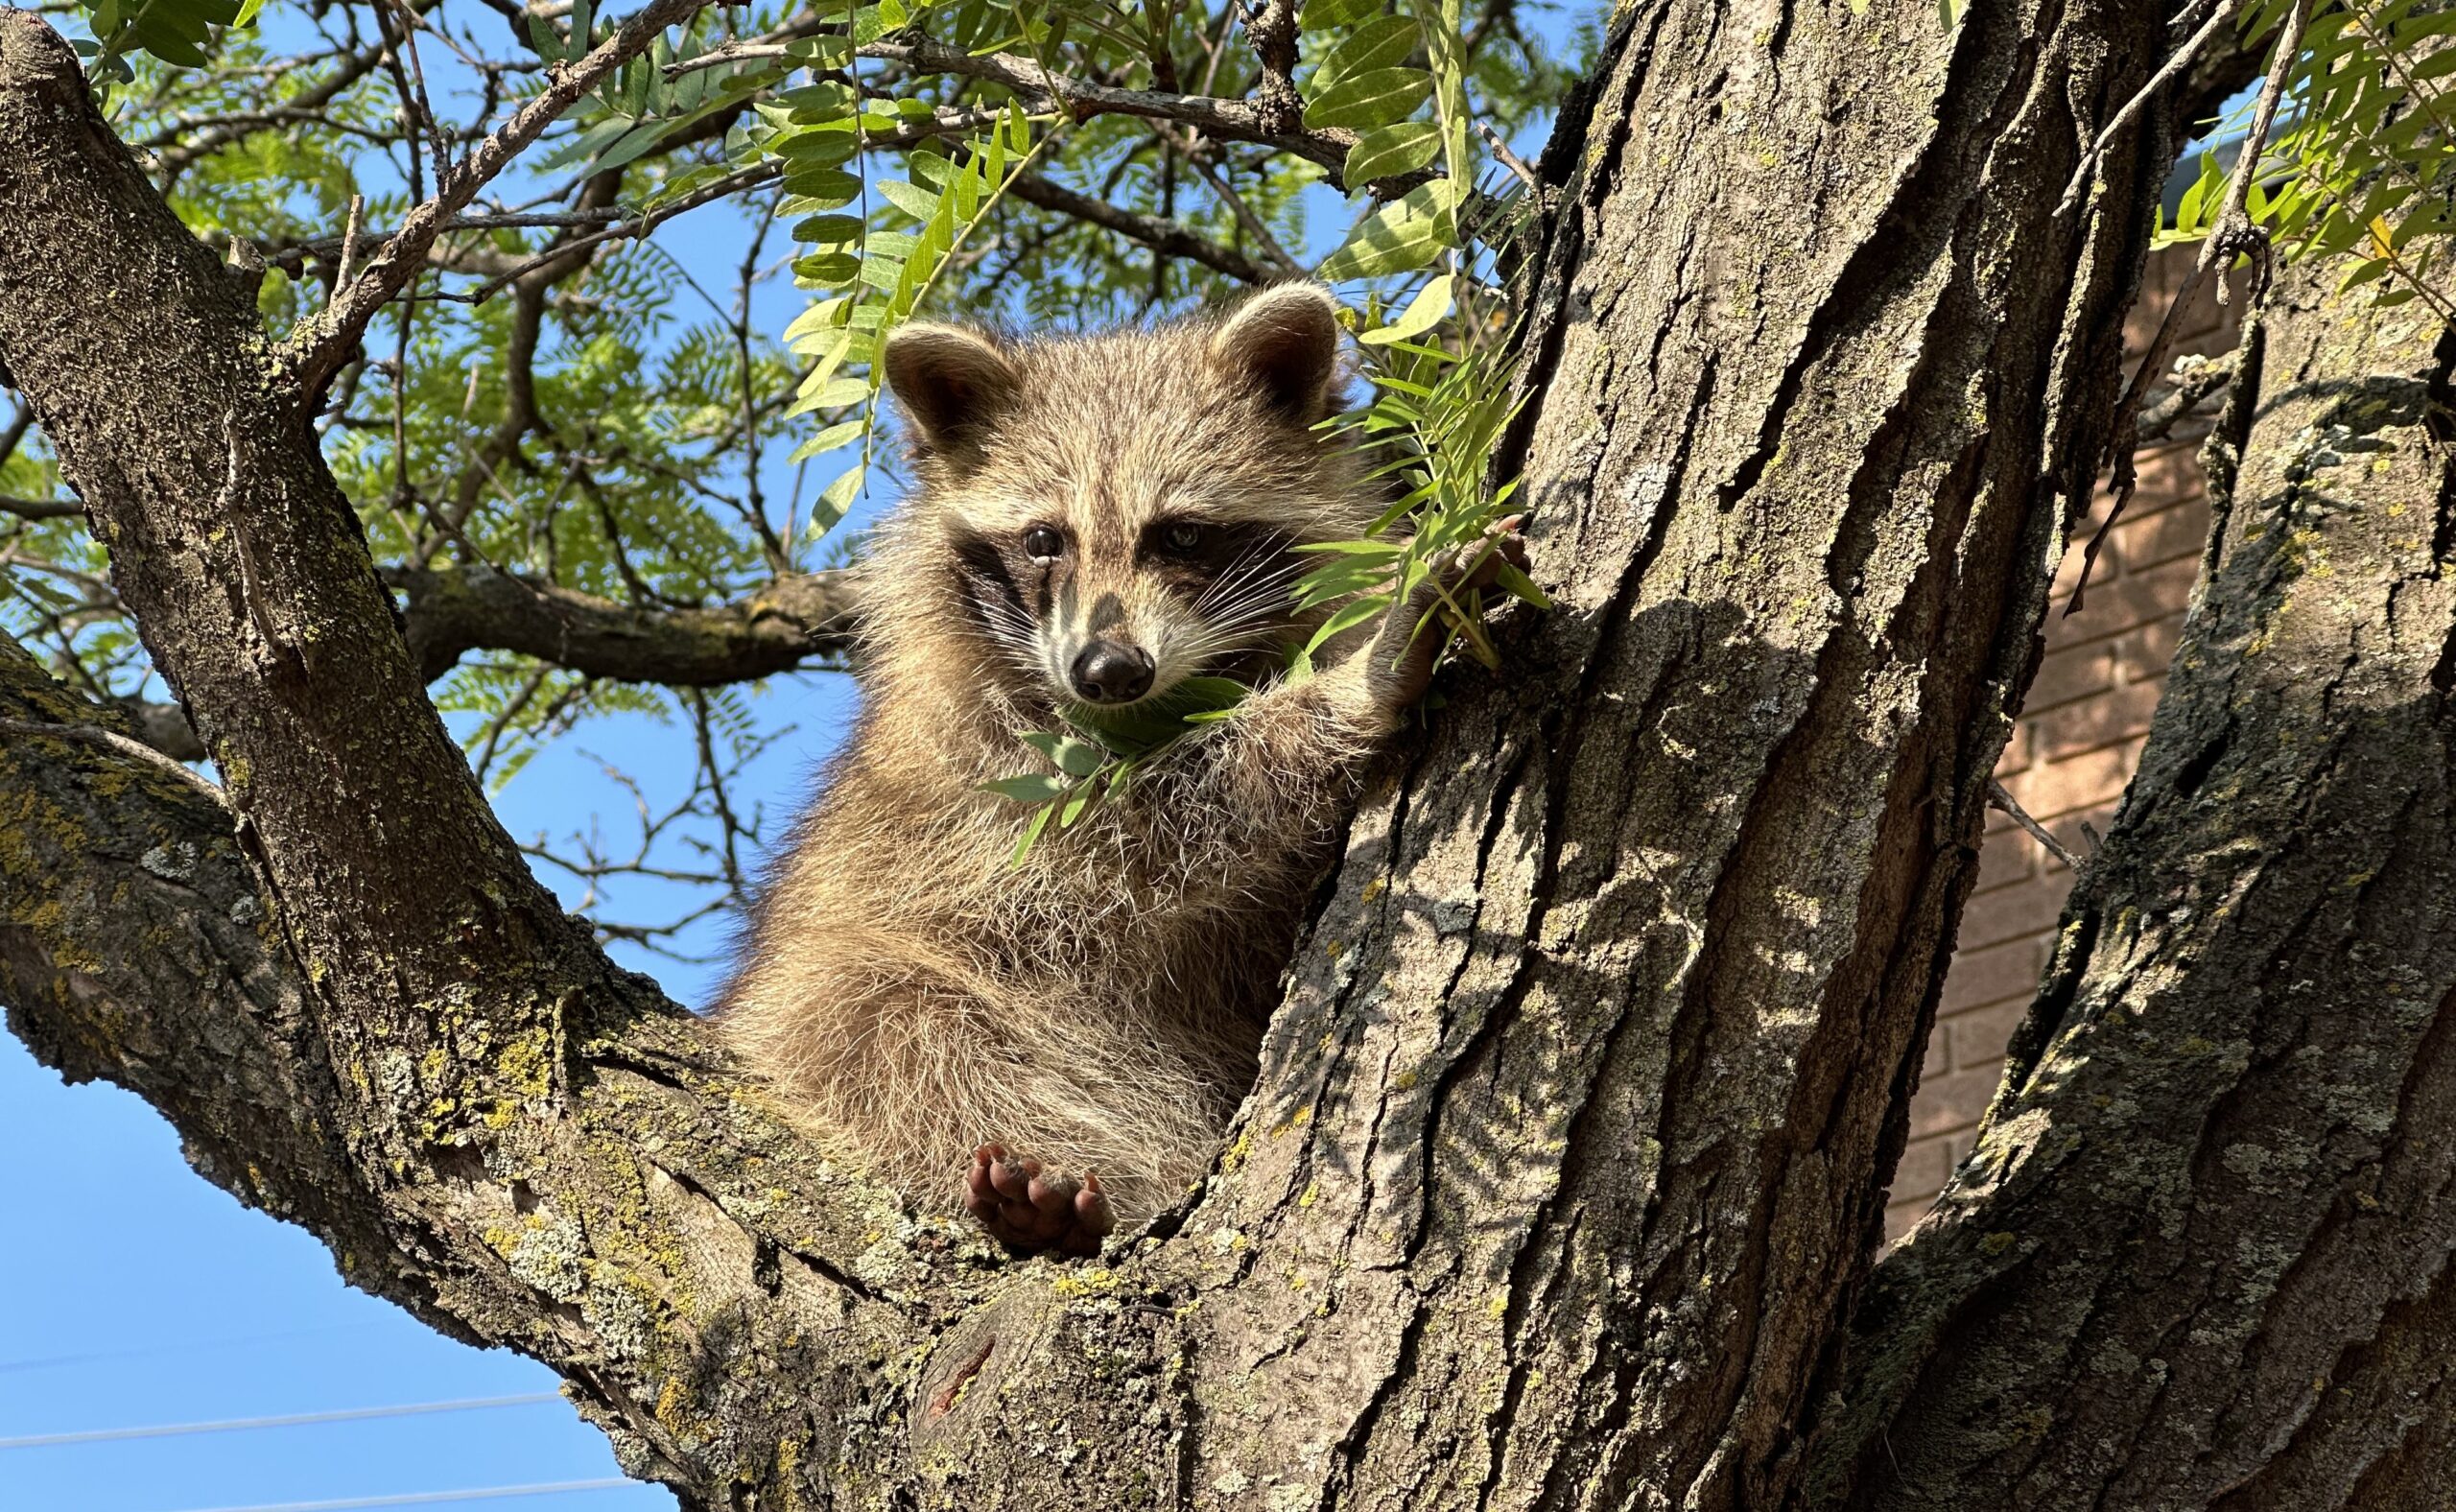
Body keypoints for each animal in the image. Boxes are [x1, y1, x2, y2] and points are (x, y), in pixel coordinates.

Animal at [717, 283, 1502, 1251]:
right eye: (1043, 540)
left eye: (1183, 535)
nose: (1109, 668)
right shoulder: (980, 779)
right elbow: (1133, 840)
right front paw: (1349, 688)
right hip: (836, 1001)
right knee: (881, 1025)